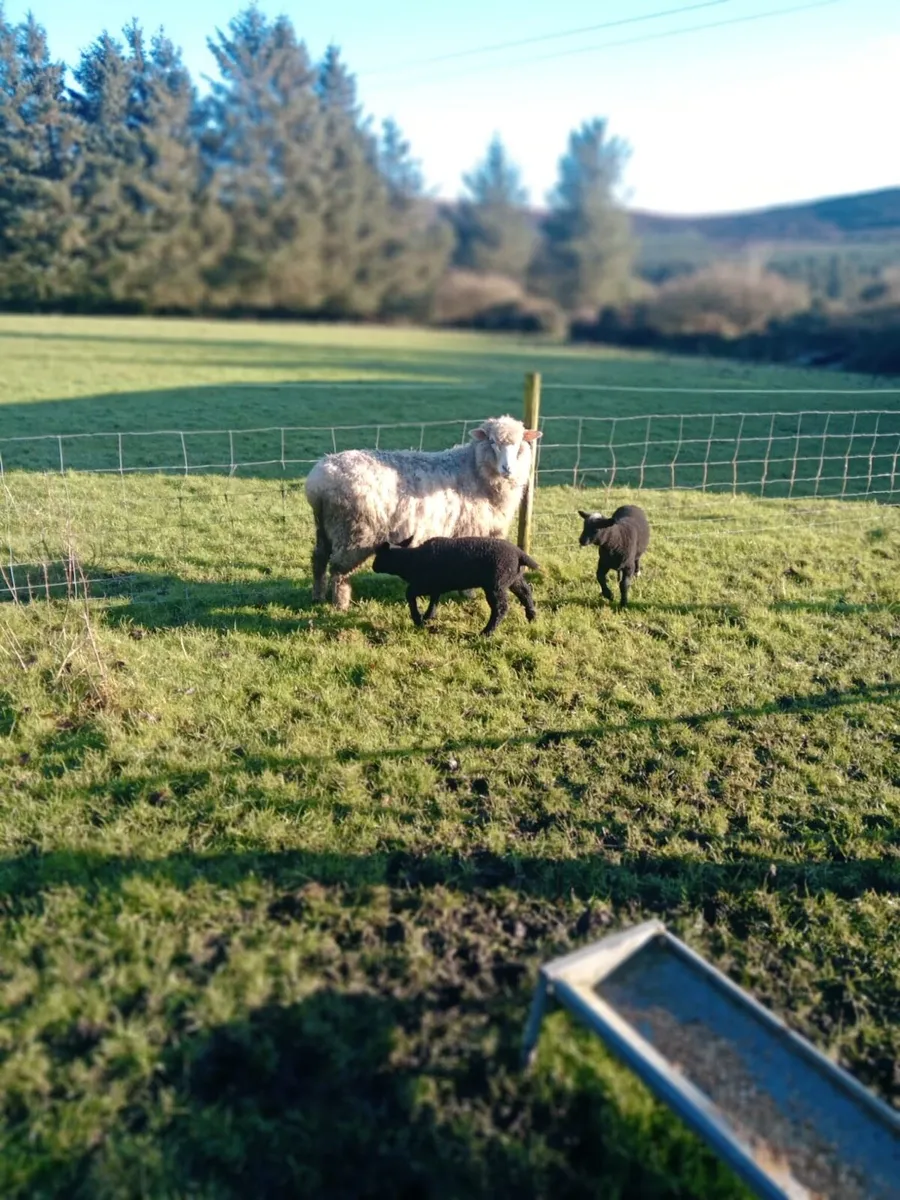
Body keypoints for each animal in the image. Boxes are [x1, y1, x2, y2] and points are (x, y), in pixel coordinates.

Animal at [305, 415, 542, 611]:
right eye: (492, 442)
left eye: (519, 443)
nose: (507, 469)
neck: (475, 468)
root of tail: (318, 482)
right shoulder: (473, 528)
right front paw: (469, 594)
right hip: (354, 532)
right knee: (339, 570)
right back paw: (340, 604)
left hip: (325, 527)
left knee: (319, 559)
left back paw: (317, 596)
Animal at [372, 535, 539, 636]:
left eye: (379, 555)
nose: (373, 567)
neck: (410, 561)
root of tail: (519, 553)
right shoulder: (435, 586)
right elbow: (434, 601)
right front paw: (427, 617)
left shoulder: (422, 583)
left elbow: (409, 594)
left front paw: (418, 620)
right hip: (513, 579)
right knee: (526, 592)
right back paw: (532, 617)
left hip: (496, 583)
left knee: (501, 608)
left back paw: (486, 633)